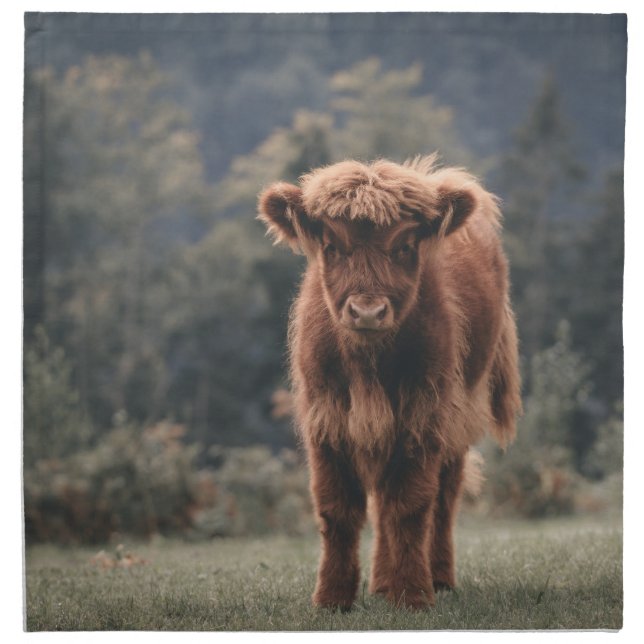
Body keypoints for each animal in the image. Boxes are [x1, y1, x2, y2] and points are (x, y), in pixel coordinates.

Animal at [257, 155, 522, 611]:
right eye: (332, 246)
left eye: (404, 247)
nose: (367, 311)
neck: (368, 365)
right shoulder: (326, 417)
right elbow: (337, 508)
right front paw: (332, 599)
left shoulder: (424, 413)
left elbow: (411, 505)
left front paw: (413, 594)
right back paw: (381, 583)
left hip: (461, 411)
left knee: (444, 496)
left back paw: (437, 578)